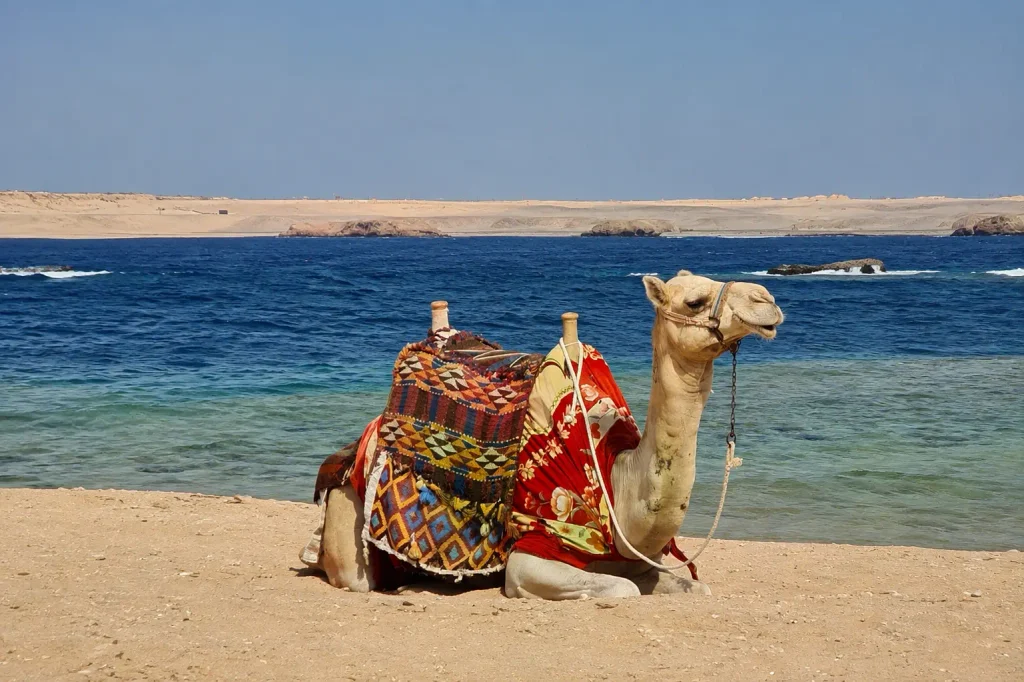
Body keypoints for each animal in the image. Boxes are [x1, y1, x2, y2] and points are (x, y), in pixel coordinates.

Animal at [304, 271, 783, 599]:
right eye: (694, 300)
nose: (767, 300)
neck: (617, 480)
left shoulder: (642, 558)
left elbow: (693, 586)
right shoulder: (531, 554)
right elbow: (622, 590)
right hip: (349, 524)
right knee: (352, 575)